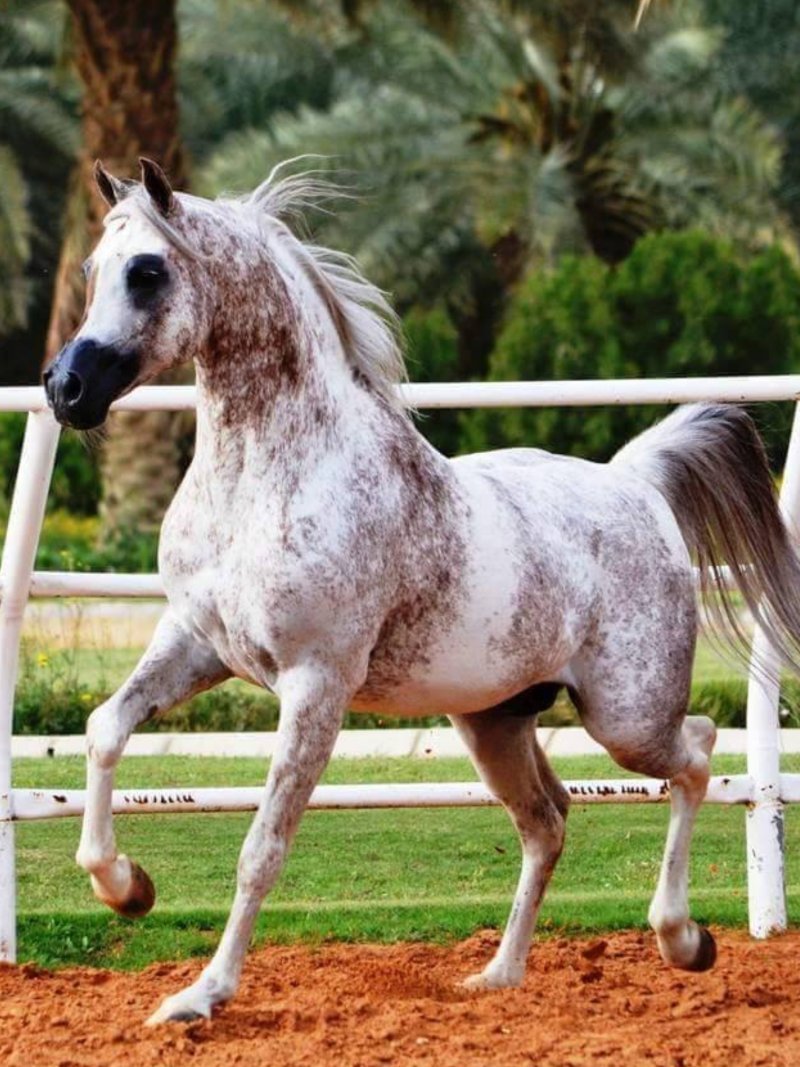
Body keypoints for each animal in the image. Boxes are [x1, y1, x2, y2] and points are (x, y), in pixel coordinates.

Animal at [43, 157, 800, 1025]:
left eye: (147, 271)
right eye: (93, 270)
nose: (64, 387)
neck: (269, 477)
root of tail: (636, 483)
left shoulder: (315, 684)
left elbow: (262, 846)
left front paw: (200, 994)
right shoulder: (198, 644)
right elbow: (104, 728)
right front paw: (126, 887)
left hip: (626, 716)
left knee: (698, 752)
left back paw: (683, 938)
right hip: (494, 721)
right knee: (549, 819)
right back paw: (499, 974)